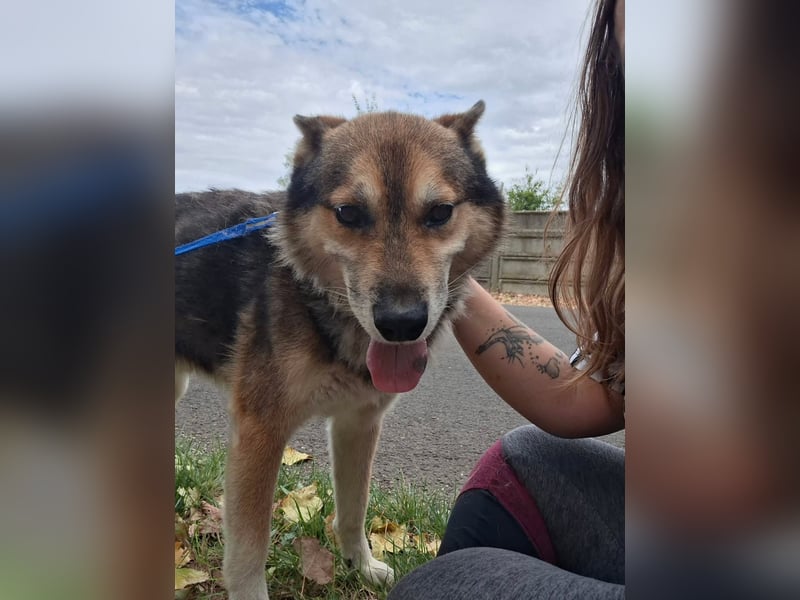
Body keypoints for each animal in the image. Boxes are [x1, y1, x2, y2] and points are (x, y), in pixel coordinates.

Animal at [175, 101, 505, 599]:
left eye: (440, 212)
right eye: (348, 213)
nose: (402, 324)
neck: (319, 305)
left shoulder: (358, 423)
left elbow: (353, 508)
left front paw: (360, 566)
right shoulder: (259, 434)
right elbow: (249, 547)